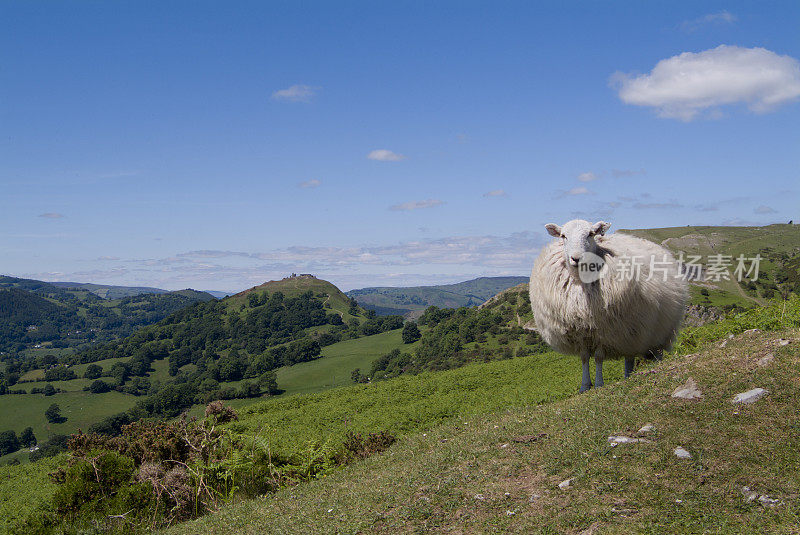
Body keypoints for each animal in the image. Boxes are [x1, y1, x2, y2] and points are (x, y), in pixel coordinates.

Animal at [532, 219, 688, 394]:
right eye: (563, 236)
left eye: (591, 234)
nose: (576, 258)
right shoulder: (580, 332)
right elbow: (584, 358)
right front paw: (584, 386)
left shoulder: (604, 330)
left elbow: (599, 357)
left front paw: (599, 384)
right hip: (630, 332)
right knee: (629, 357)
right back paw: (628, 376)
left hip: (659, 329)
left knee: (657, 351)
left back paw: (656, 367)